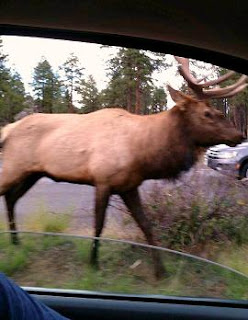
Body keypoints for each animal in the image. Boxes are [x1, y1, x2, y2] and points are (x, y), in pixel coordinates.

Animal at [0, 57, 246, 278]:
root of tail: (8, 129)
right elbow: (98, 225)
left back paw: (16, 240)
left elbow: (146, 225)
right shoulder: (102, 181)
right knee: (8, 195)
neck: (142, 154)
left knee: (11, 198)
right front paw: (93, 263)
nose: (239, 135)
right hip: (13, 167)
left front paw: (161, 271)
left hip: (31, 173)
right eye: (207, 113)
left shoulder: (129, 186)